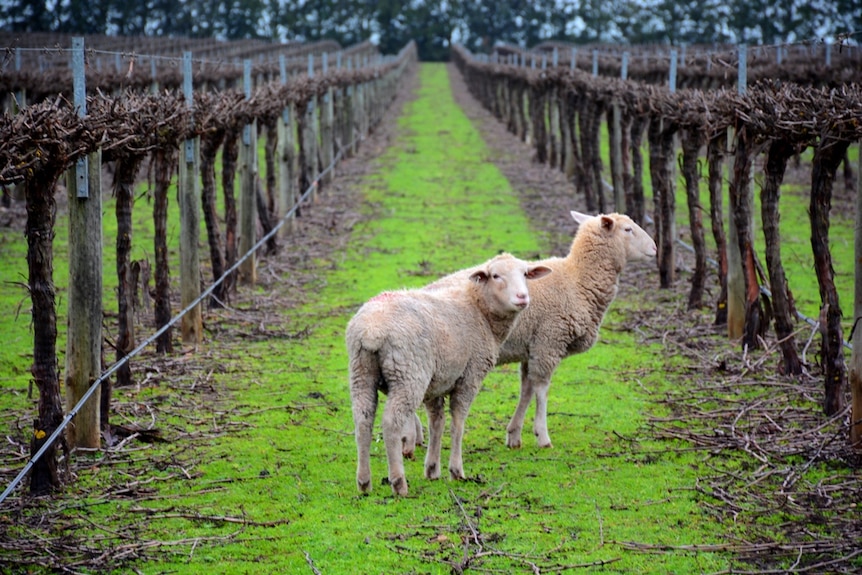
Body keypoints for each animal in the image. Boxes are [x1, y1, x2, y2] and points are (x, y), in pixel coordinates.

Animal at [346, 254, 552, 498]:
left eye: (525, 274)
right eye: (495, 275)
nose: (522, 297)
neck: (479, 310)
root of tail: (371, 331)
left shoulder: (437, 383)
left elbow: (437, 423)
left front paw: (432, 469)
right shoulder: (470, 377)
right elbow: (457, 423)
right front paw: (456, 470)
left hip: (361, 372)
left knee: (363, 420)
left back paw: (364, 482)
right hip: (409, 374)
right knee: (391, 423)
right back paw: (398, 482)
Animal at [428, 212, 660, 450]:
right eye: (627, 230)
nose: (654, 248)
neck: (578, 280)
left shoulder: (531, 348)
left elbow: (527, 390)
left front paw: (514, 434)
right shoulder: (549, 341)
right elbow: (542, 389)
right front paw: (542, 435)